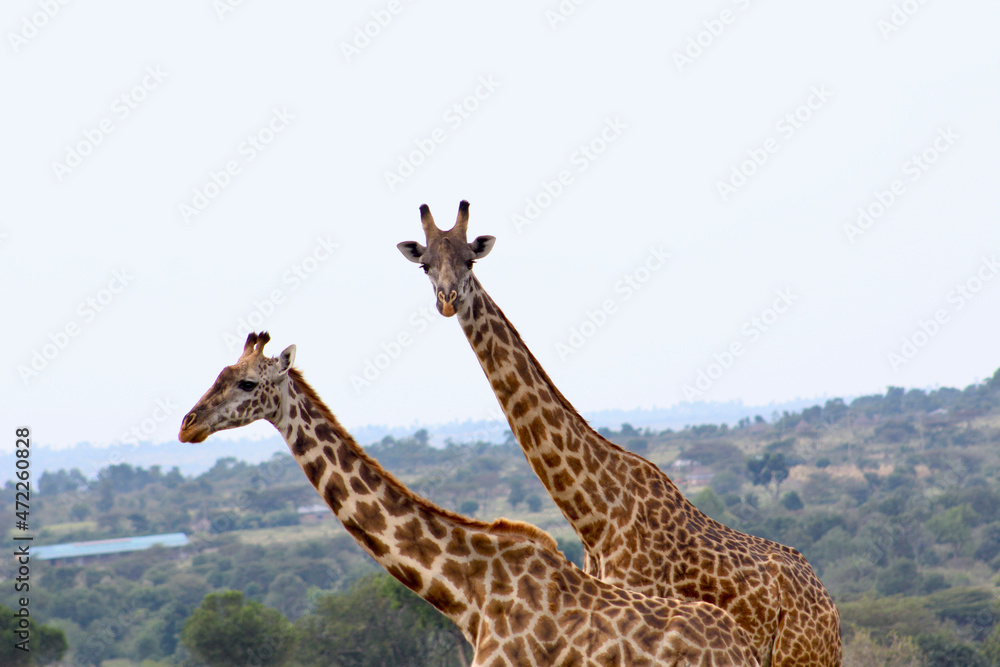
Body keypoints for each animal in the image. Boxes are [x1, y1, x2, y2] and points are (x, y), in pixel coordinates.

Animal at [397, 201, 842, 667]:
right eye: (426, 265)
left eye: (471, 260)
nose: (447, 300)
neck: (595, 514)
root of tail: (829, 607)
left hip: (801, 655)